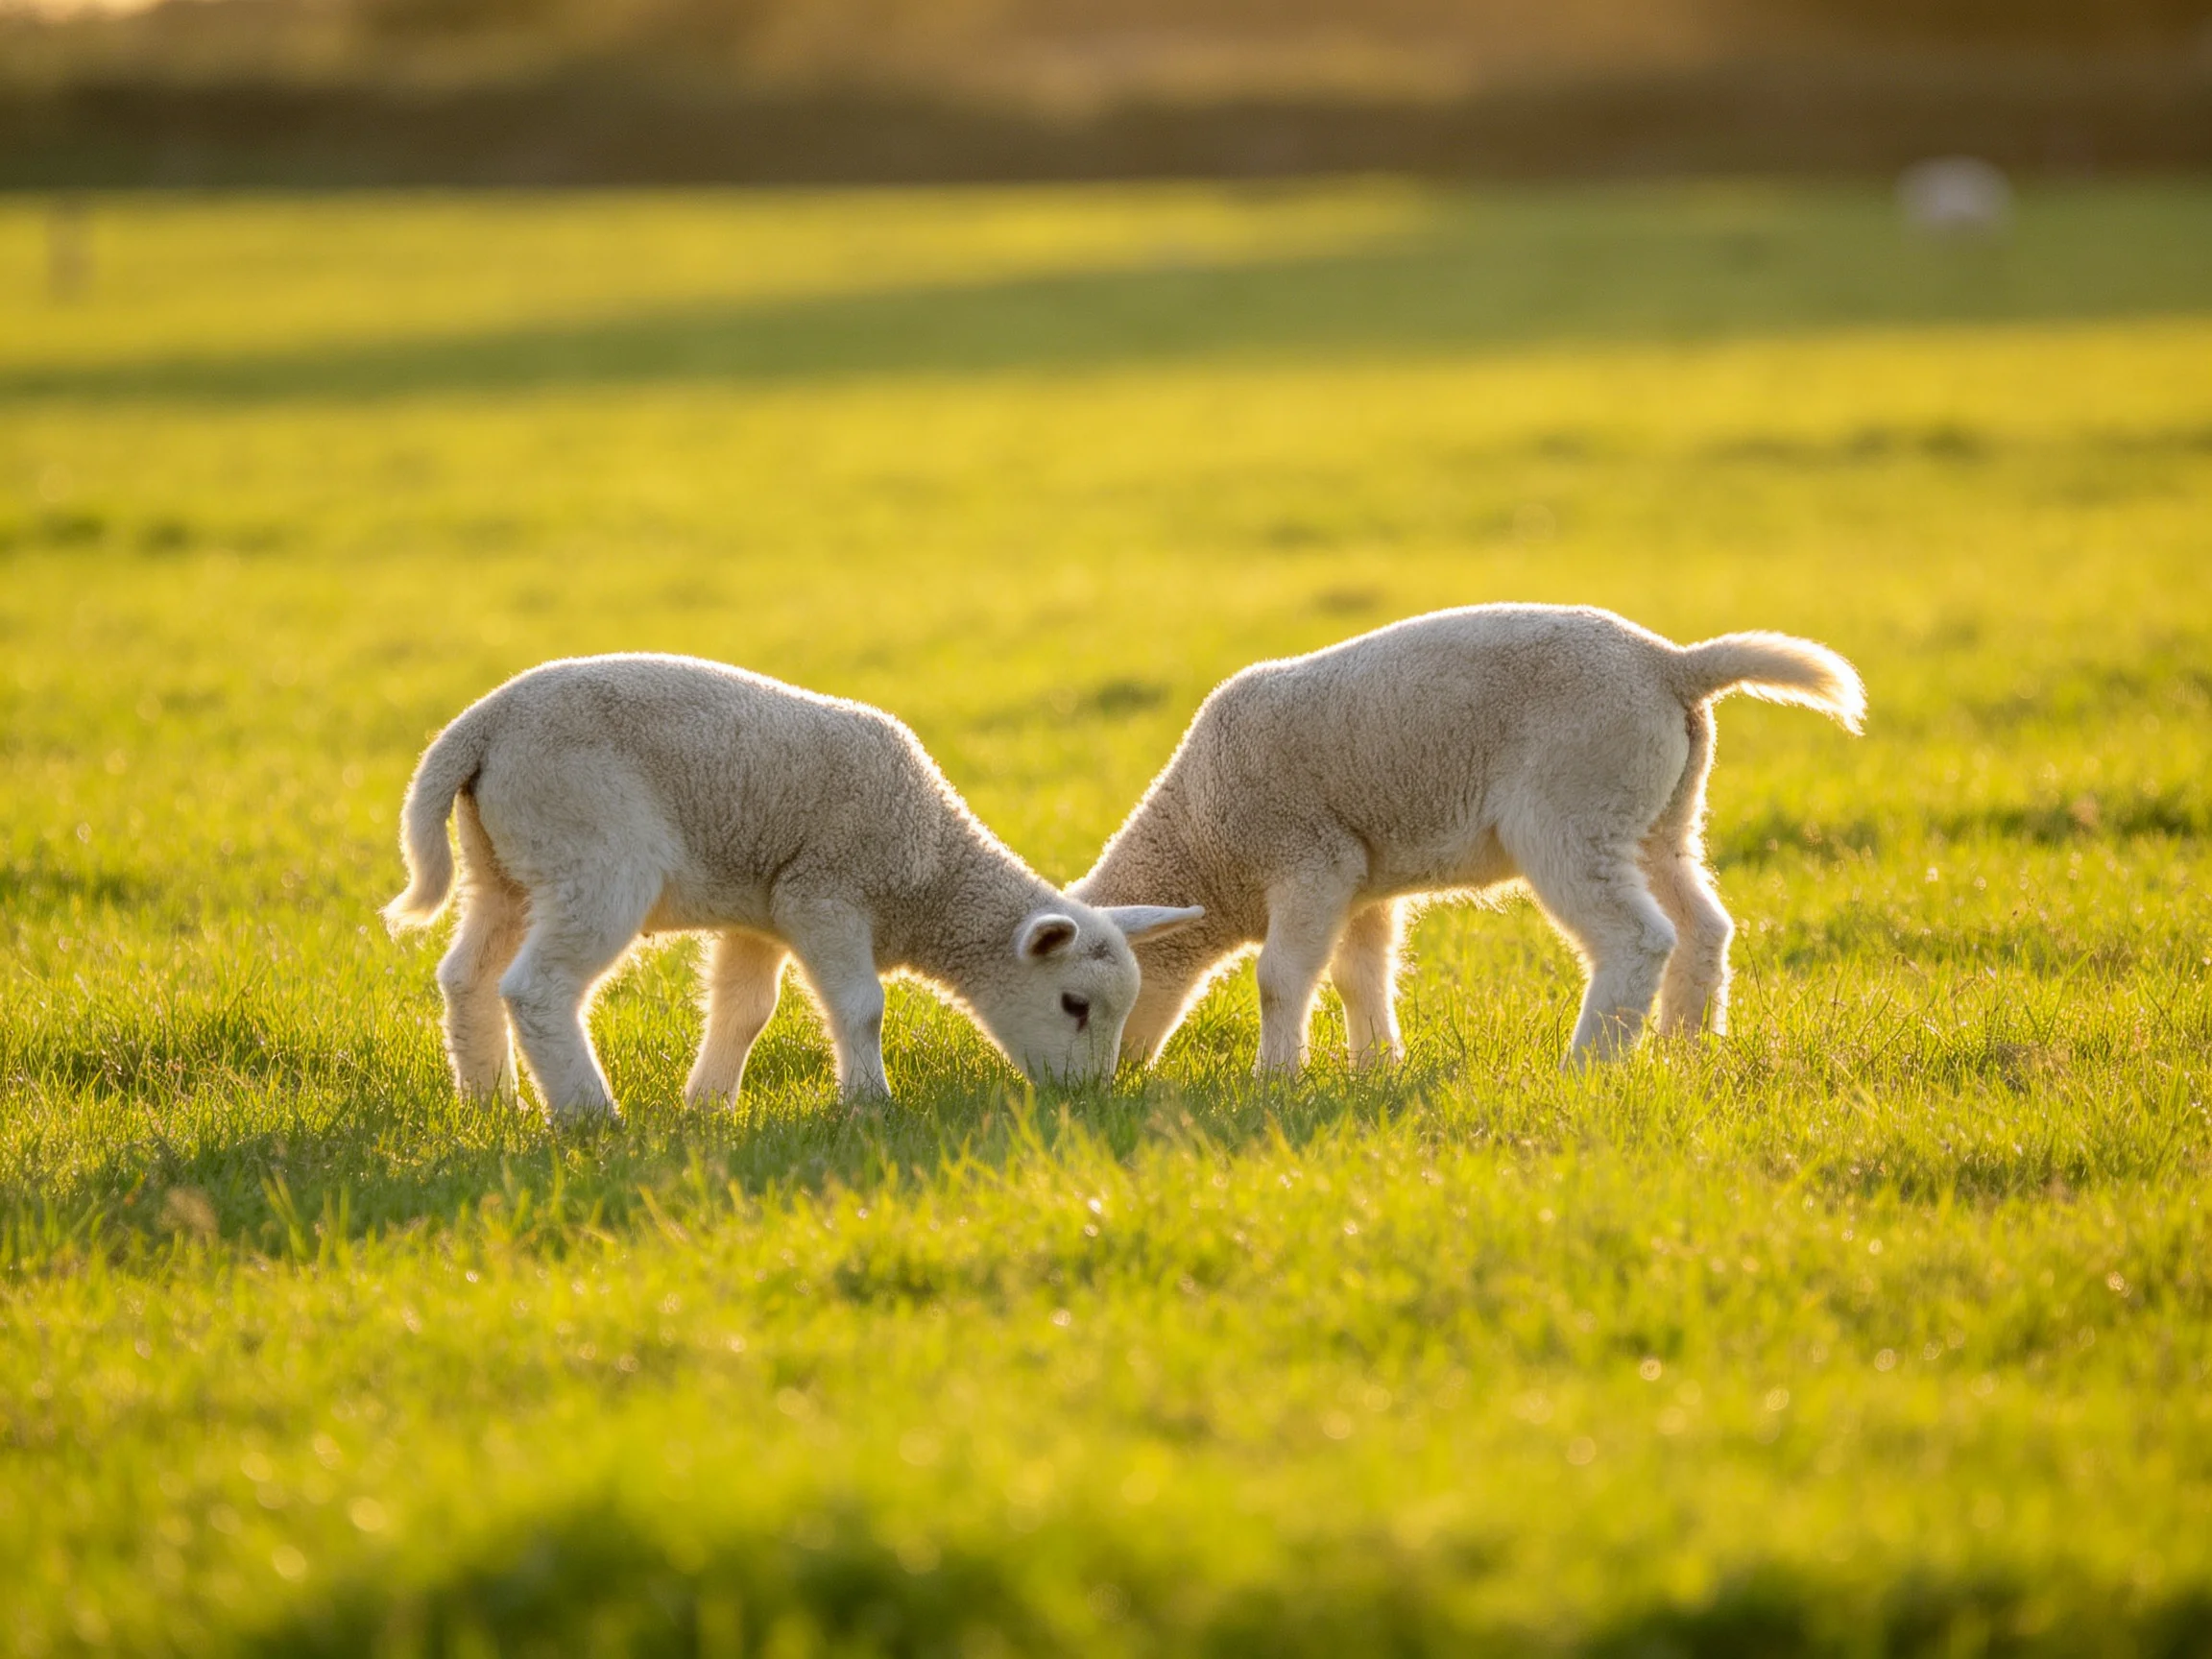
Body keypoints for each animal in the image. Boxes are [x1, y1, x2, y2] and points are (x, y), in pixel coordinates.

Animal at [383, 653, 1202, 1119]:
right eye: (1073, 1005)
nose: (1089, 1100)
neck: (931, 872)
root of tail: (483, 725)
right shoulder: (825, 892)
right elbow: (861, 1007)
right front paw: (868, 1103)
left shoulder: (761, 912)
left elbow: (745, 1011)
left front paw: (709, 1106)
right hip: (591, 853)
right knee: (538, 989)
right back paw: (587, 1113)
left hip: (506, 867)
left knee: (466, 977)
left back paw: (492, 1103)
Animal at [1069, 604, 1864, 1073]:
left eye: (1080, 1002)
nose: (1101, 1089)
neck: (1200, 841)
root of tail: (1672, 666)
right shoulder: (1360, 879)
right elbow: (1359, 973)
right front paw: (1376, 1066)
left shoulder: (1309, 857)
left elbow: (1281, 978)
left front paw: (1277, 1077)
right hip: (1658, 815)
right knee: (1704, 926)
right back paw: (1685, 1051)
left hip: (1575, 808)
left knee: (1640, 939)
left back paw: (1589, 1067)